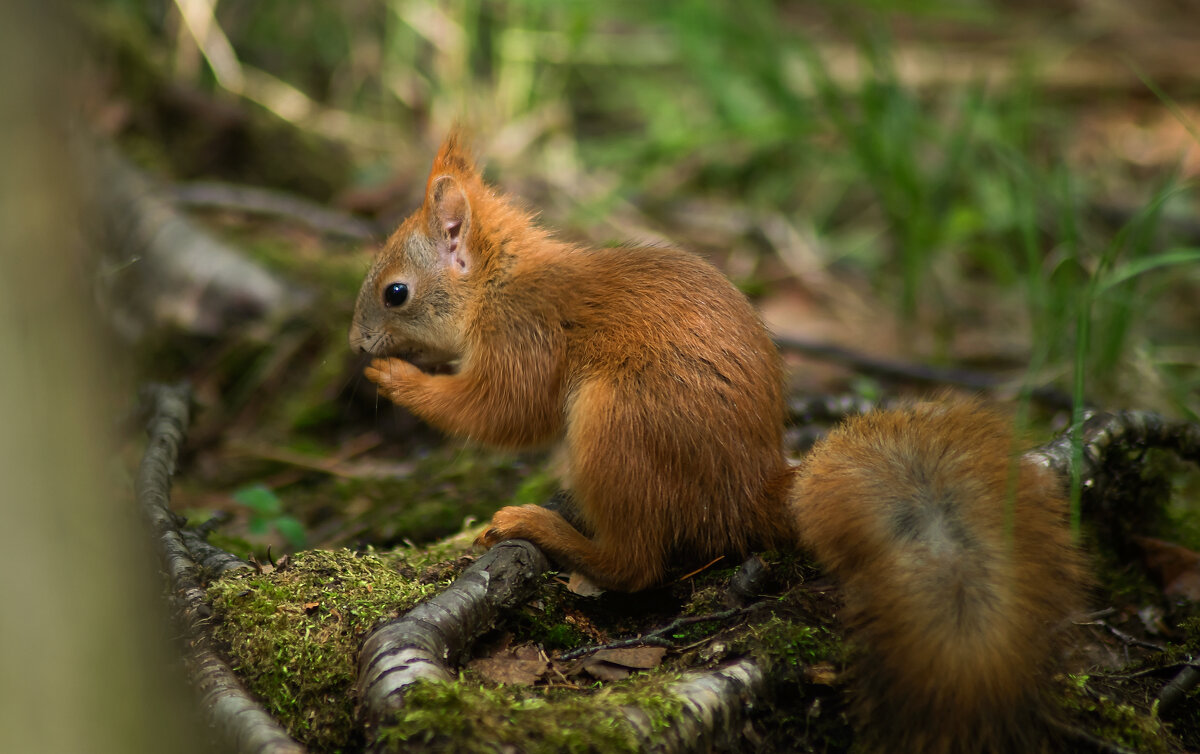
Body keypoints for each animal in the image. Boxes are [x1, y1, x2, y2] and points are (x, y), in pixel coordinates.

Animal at [350, 132, 1094, 749]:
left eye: (395, 293)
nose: (357, 343)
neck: (497, 284)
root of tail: (748, 491)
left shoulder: (524, 336)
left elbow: (500, 412)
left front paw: (397, 378)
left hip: (617, 425)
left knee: (636, 563)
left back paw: (541, 527)